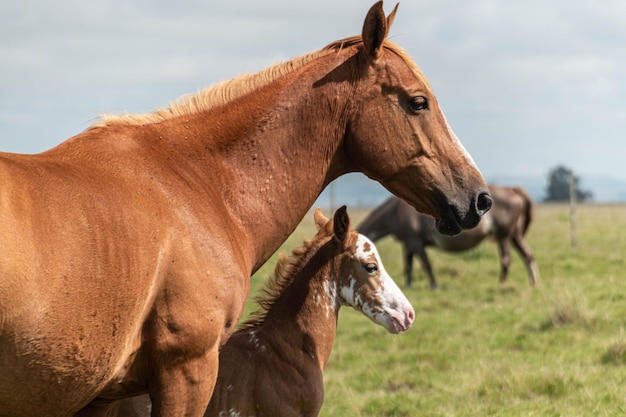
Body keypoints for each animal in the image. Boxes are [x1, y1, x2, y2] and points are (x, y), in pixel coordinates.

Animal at [358, 186, 540, 290]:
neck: (395, 212)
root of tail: (513, 191)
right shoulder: (408, 245)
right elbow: (408, 266)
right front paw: (408, 286)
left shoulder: (416, 243)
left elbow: (426, 265)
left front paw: (434, 286)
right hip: (514, 235)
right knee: (528, 255)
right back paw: (533, 282)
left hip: (504, 235)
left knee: (506, 258)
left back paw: (501, 283)